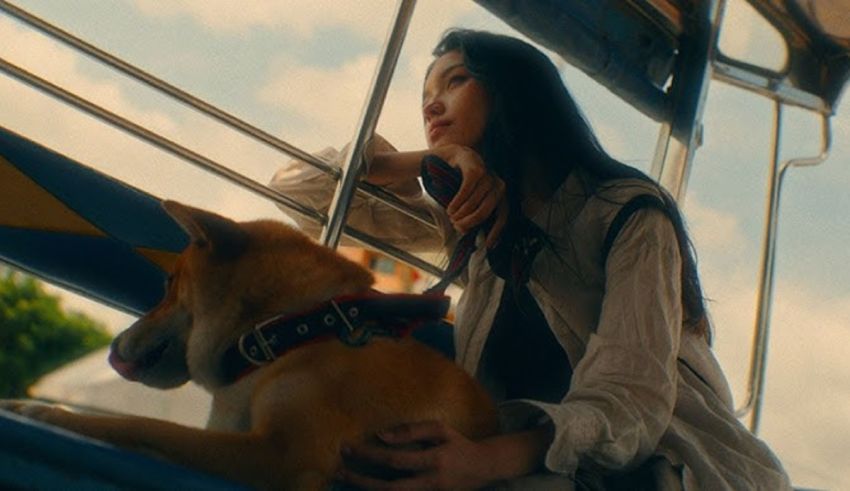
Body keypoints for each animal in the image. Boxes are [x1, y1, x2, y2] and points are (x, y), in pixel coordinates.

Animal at [1, 202, 496, 490]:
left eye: (168, 283)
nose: (113, 345)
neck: (290, 334)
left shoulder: (281, 455)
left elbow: (139, 427)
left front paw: (45, 412)